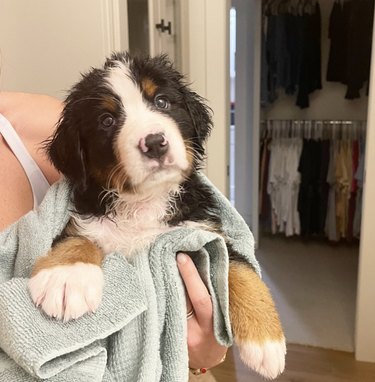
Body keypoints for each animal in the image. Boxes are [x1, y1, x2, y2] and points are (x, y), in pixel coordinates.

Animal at [27, 53, 286, 380]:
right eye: (107, 120)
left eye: (162, 101)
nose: (154, 142)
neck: (145, 202)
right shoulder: (88, 219)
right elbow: (79, 239)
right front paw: (65, 278)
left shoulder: (203, 233)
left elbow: (238, 268)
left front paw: (267, 343)